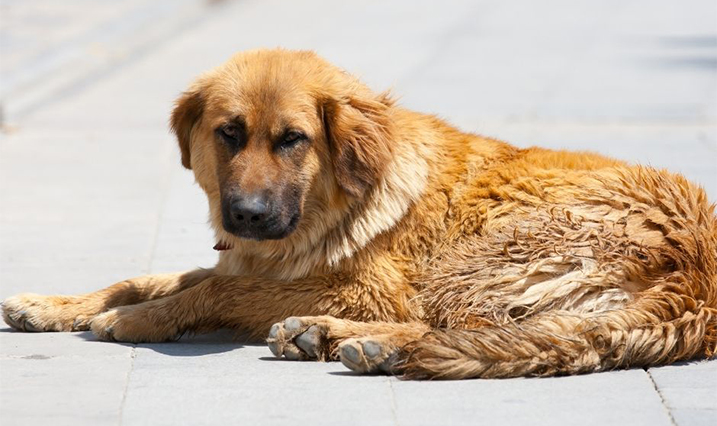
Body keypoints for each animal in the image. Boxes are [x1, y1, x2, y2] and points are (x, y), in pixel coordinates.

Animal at [1, 50, 716, 380]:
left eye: (293, 139)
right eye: (230, 133)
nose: (245, 216)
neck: (340, 204)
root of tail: (700, 273)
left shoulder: (367, 287)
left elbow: (218, 289)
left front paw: (140, 319)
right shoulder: (260, 260)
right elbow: (148, 277)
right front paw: (55, 305)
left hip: (485, 258)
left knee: (456, 327)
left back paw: (355, 341)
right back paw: (330, 337)